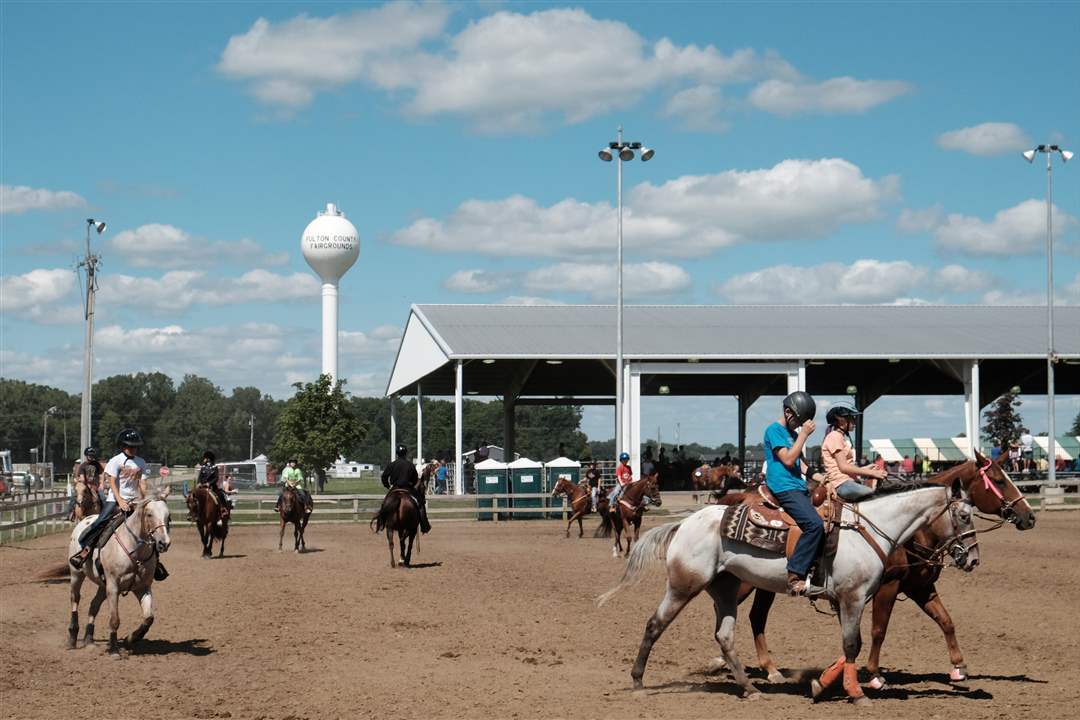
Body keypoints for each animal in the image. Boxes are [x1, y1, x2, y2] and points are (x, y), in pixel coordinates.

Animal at [66, 487, 170, 656]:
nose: (164, 543)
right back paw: (72, 638)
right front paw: (114, 649)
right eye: (149, 514)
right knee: (75, 599)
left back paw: (89, 640)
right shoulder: (113, 587)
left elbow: (149, 618)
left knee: (93, 605)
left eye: (168, 515)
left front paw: (130, 639)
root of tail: (85, 519)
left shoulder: (143, 587)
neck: (134, 550)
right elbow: (114, 619)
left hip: (103, 585)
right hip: (76, 574)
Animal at [604, 474, 984, 708]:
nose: (973, 559)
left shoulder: (851, 600)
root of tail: (685, 522)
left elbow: (850, 646)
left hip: (725, 588)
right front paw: (857, 692)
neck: (869, 528)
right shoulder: (854, 597)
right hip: (685, 585)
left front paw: (821, 684)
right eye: (965, 515)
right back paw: (638, 682)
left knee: (725, 636)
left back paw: (750, 688)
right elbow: (853, 644)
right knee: (655, 624)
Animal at [717, 453, 1028, 690]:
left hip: (763, 584)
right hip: (745, 581)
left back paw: (770, 669)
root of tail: (740, 498)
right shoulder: (886, 587)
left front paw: (959, 667)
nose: (1028, 517)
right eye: (999, 480)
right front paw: (875, 675)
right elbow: (879, 629)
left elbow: (945, 620)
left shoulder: (919, 587)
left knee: (757, 617)